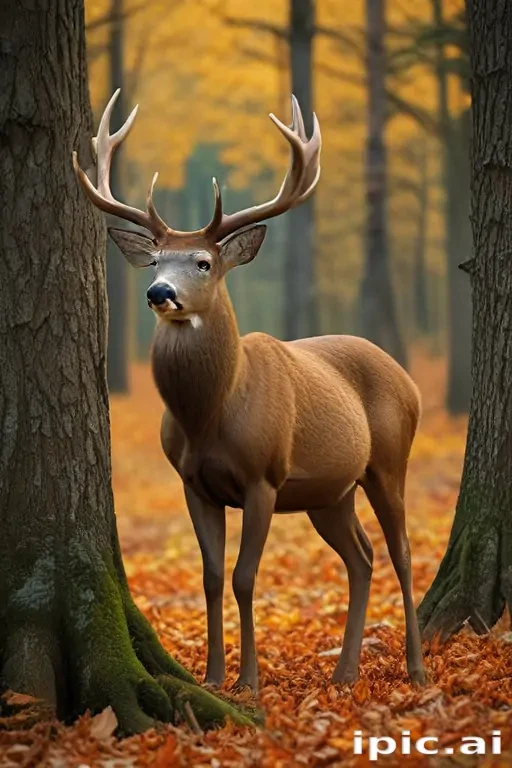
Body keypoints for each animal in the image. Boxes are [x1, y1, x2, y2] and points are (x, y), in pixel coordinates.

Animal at [73, 89, 426, 694]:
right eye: (154, 259)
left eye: (203, 262)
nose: (159, 292)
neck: (210, 415)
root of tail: (409, 379)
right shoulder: (193, 482)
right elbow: (212, 576)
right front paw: (213, 677)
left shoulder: (264, 476)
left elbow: (244, 576)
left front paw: (249, 682)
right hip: (329, 492)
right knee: (361, 556)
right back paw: (344, 673)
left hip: (387, 458)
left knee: (400, 552)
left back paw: (417, 669)